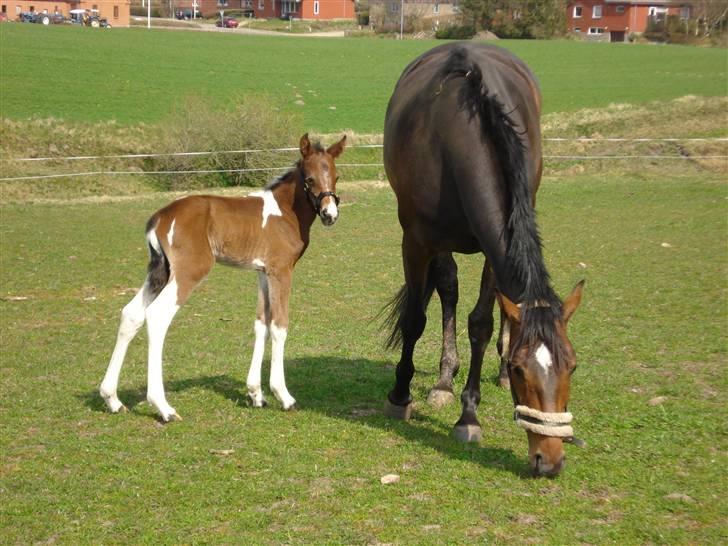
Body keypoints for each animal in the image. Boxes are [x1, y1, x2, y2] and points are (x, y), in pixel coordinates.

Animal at [99, 133, 346, 420]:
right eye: (309, 179)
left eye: (336, 176)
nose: (330, 214)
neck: (285, 211)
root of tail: (159, 218)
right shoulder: (281, 271)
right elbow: (279, 325)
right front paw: (283, 396)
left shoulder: (262, 272)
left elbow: (261, 323)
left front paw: (255, 394)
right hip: (189, 272)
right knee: (158, 316)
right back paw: (163, 407)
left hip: (159, 272)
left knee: (131, 315)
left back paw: (112, 399)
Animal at [384, 43, 584, 476]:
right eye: (522, 369)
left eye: (573, 365)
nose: (550, 460)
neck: (453, 142)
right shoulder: (417, 241)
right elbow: (416, 318)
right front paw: (400, 394)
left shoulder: (498, 247)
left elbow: (482, 324)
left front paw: (469, 416)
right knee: (447, 290)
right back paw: (443, 381)